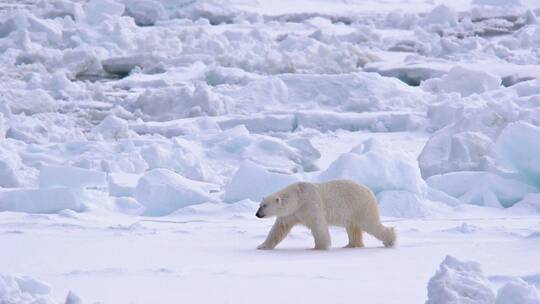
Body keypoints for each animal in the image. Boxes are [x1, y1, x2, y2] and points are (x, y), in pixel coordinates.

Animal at [255, 180, 394, 249]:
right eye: (260, 204)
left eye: (265, 206)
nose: (257, 214)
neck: (298, 197)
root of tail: (370, 191)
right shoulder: (291, 214)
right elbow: (278, 229)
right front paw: (262, 246)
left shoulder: (310, 204)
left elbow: (318, 225)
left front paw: (319, 246)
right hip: (353, 212)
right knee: (353, 228)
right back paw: (351, 245)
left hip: (361, 206)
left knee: (371, 224)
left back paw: (390, 240)